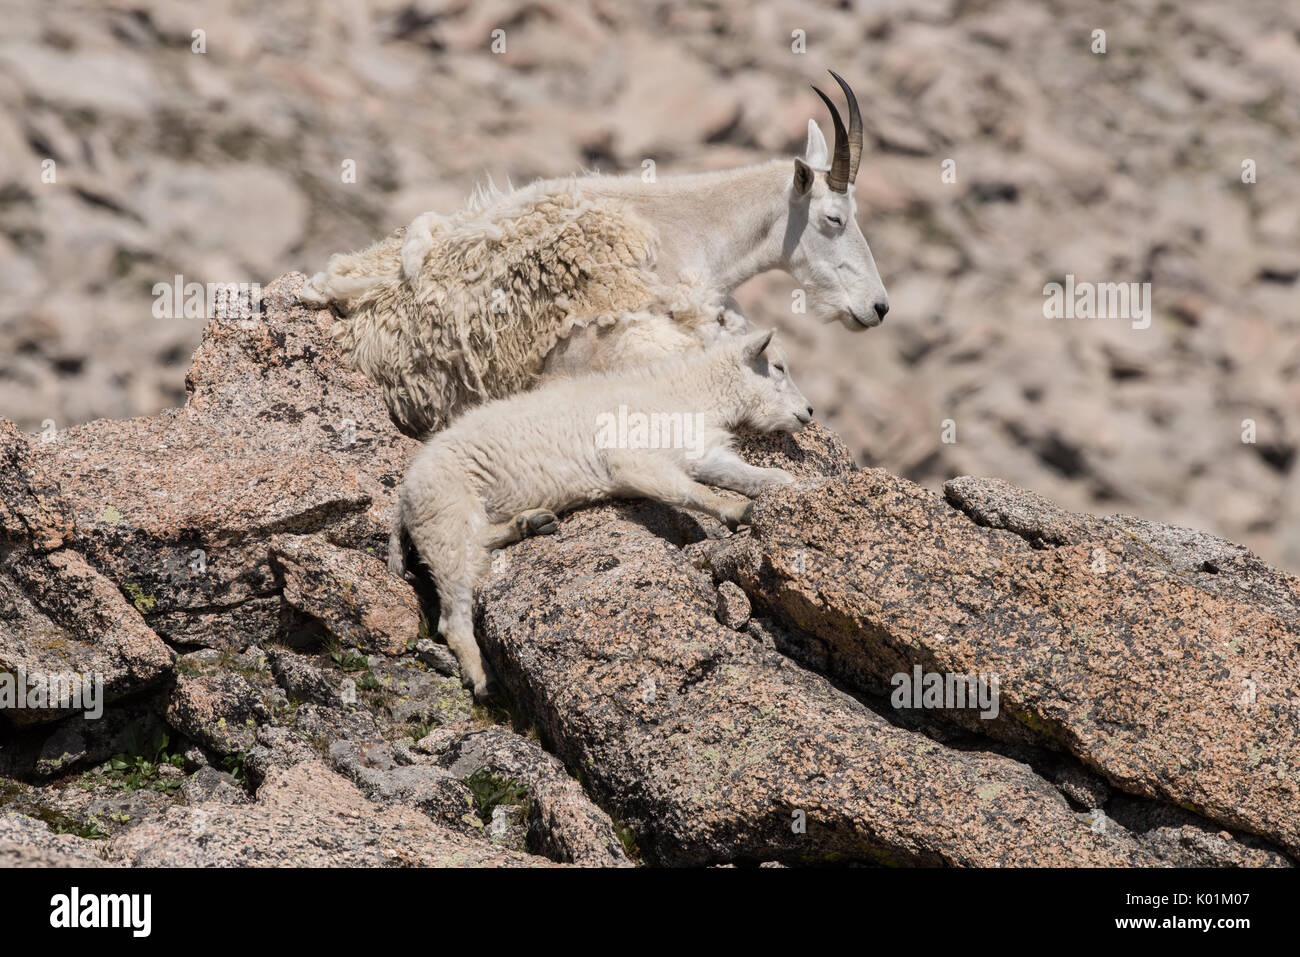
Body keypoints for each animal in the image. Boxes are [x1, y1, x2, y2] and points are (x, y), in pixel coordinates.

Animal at [387, 328, 811, 696]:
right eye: (777, 367)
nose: (808, 410)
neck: (685, 395)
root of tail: (404, 498)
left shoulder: (697, 450)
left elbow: (746, 475)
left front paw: (786, 485)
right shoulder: (633, 458)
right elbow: (691, 491)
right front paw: (739, 511)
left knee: (483, 542)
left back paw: (532, 522)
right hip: (446, 519)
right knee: (453, 616)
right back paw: (482, 679)